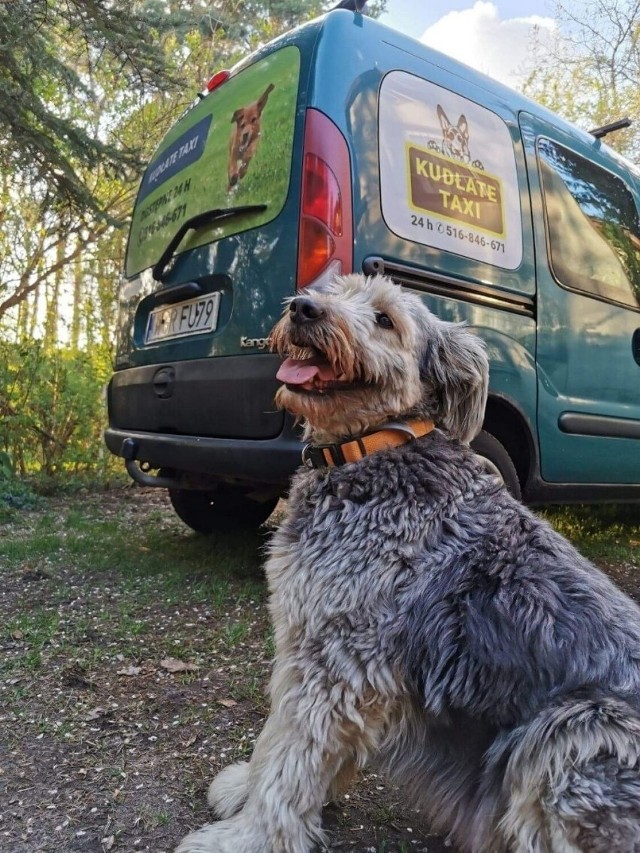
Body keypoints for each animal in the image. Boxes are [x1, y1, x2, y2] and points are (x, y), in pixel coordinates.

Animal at [178, 274, 640, 852]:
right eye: (334, 289)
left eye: (384, 319)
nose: (304, 308)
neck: (370, 449)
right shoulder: (314, 647)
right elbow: (281, 741)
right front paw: (251, 789)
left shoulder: (337, 659)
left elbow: (290, 758)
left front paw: (248, 837)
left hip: (570, 728)